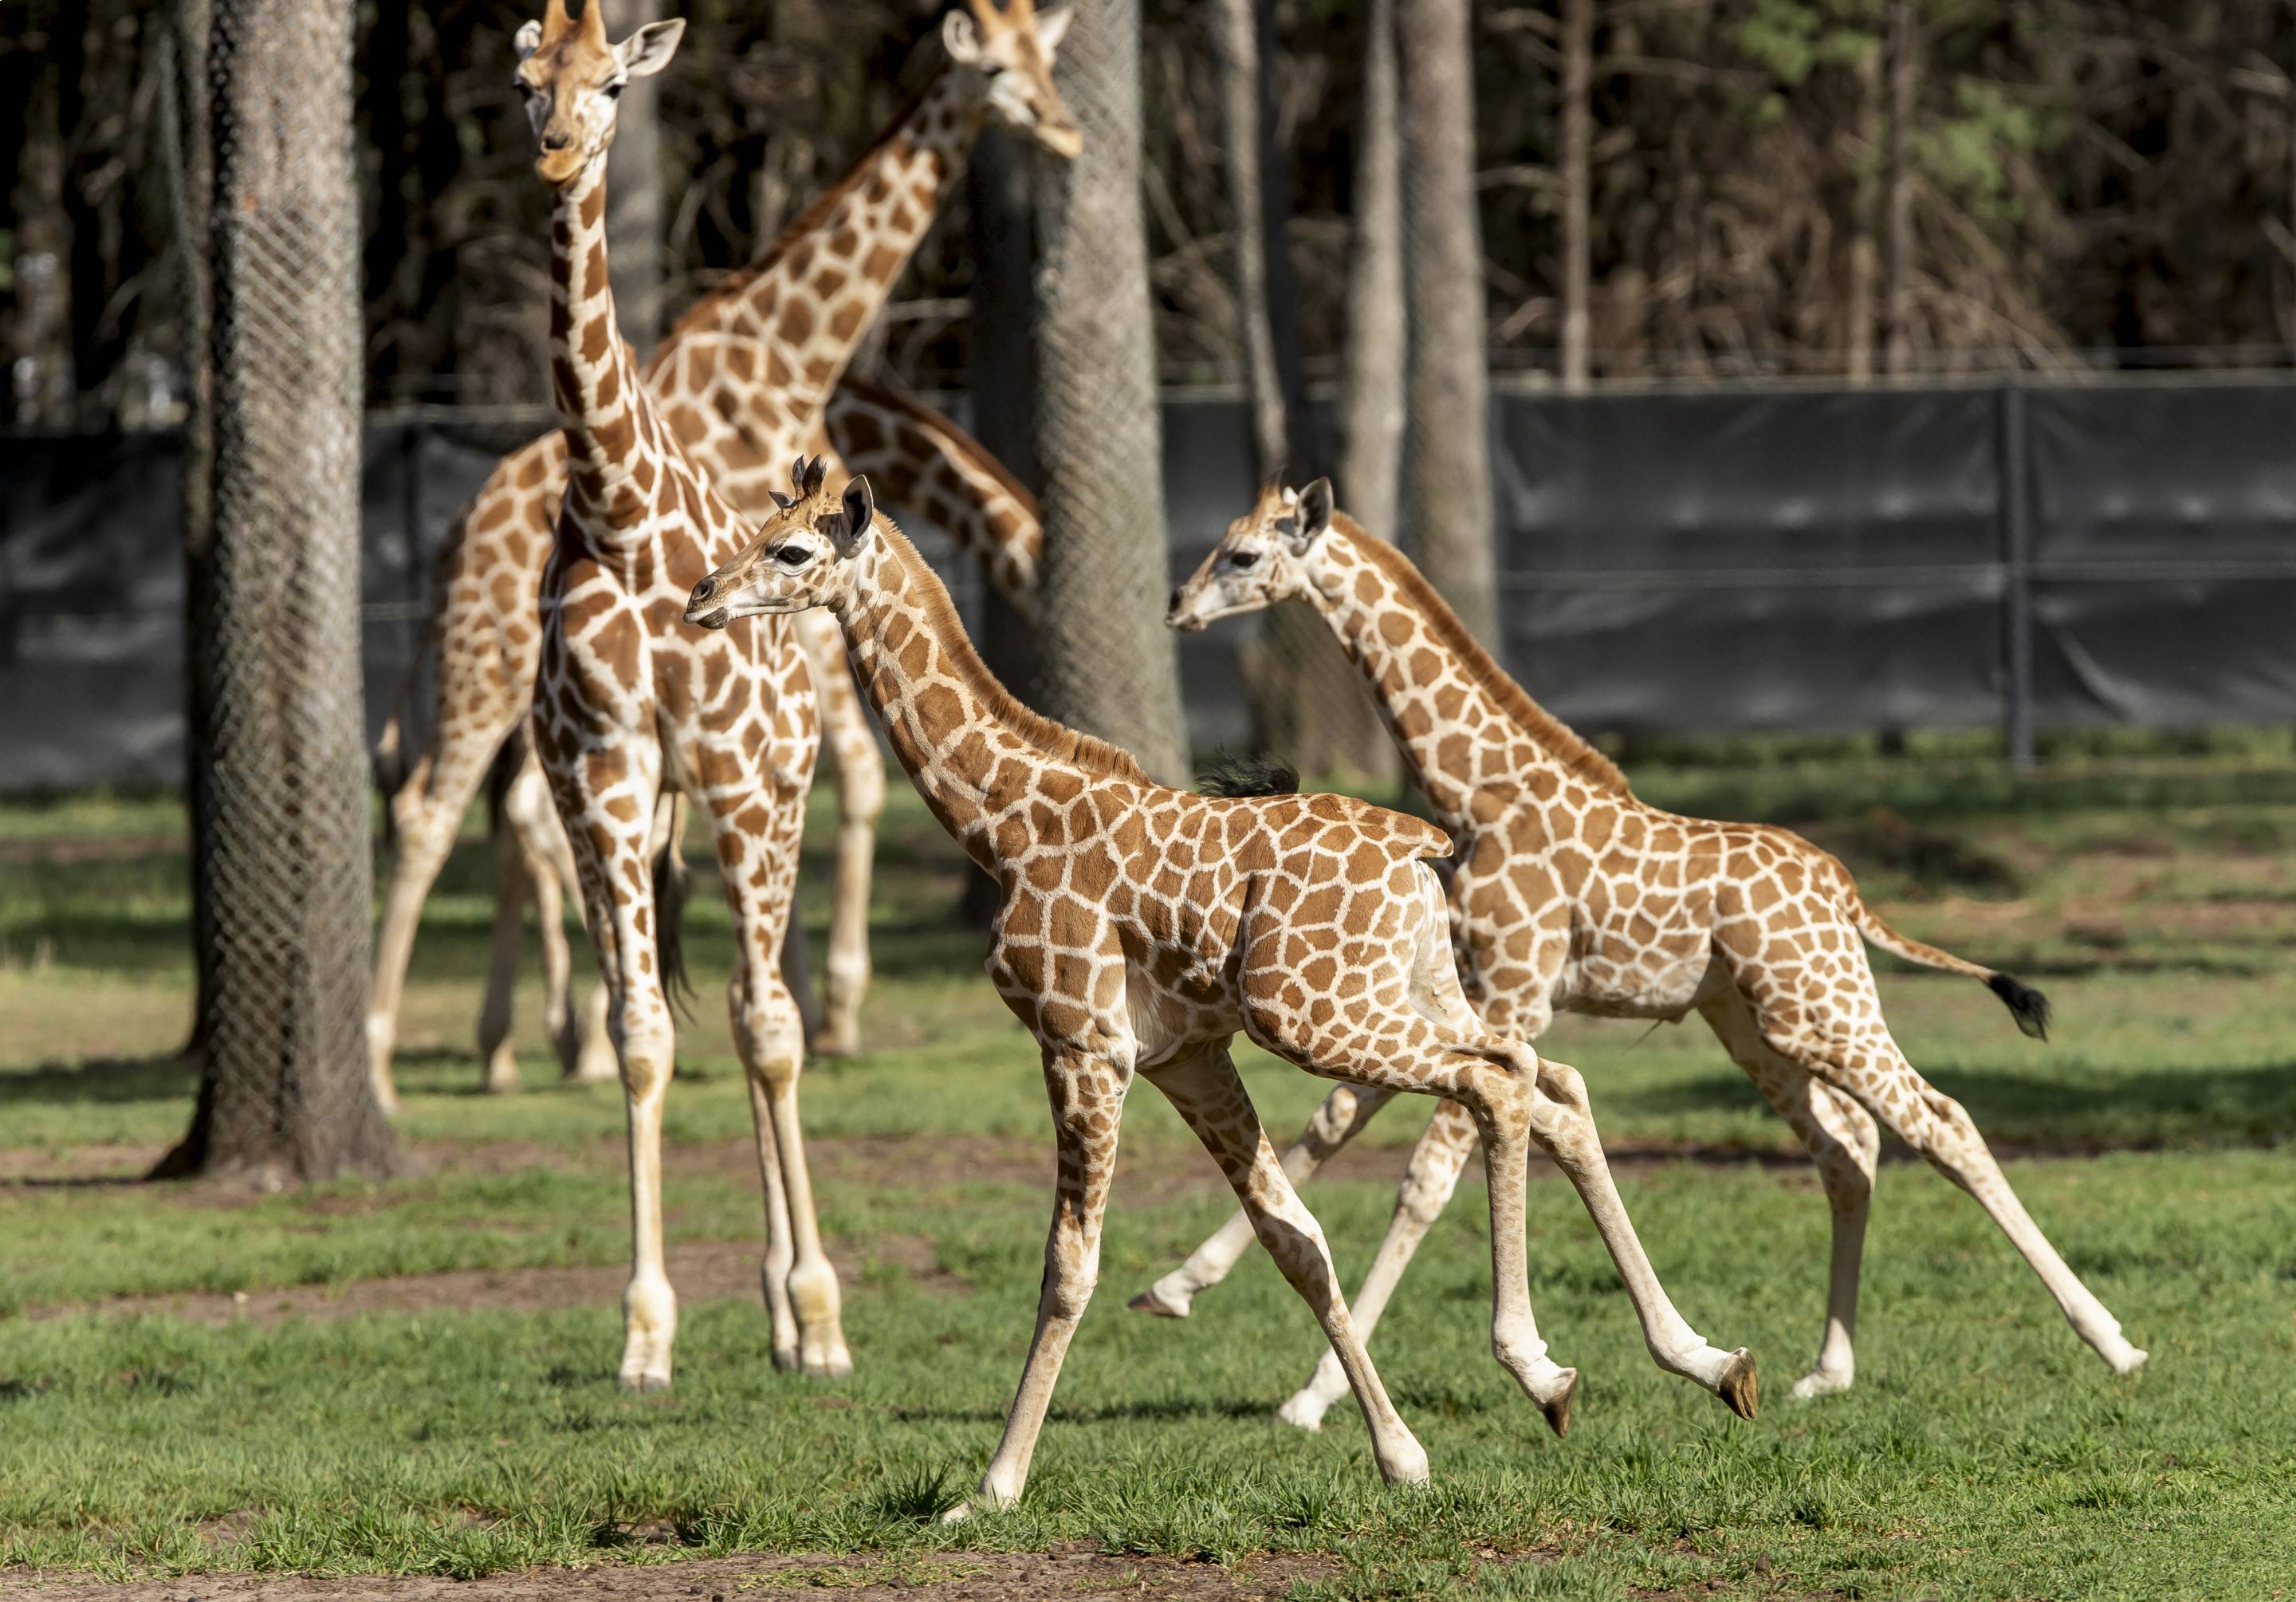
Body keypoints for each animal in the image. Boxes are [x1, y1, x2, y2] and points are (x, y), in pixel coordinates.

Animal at [363, 0, 1079, 1106]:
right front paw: (835, 1008)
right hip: (489, 667)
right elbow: (855, 777)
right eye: (999, 71)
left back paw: (519, 1042)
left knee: (510, 814)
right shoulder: (793, 613)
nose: (1064, 129)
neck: (788, 358)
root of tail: (455, 536)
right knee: (435, 810)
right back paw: (398, 1062)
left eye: (1050, 59)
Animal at [679, 459, 1754, 1506]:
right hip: (1411, 991)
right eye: (754, 530)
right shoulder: (1187, 1055)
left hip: (1318, 1014)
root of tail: (1424, 846)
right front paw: (1399, 1454)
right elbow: (1295, 1236)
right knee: (1547, 1079)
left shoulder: (1083, 1043)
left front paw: (991, 1485)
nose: (701, 596)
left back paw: (1540, 1365)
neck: (1002, 821)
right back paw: (1705, 1360)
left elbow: (1070, 1264)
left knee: (1496, 1083)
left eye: (791, 548)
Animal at [1148, 477, 2149, 1423]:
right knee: (1847, 1144)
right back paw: (1827, 1370)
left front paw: (1314, 1392)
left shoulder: (1513, 990)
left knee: (1942, 1121)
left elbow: (1424, 1179)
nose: (1178, 604)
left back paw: (2114, 1341)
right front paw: (1175, 1286)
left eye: (1241, 555)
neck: (1480, 791)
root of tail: (1847, 889)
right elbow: (1334, 1123)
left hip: (1824, 1008)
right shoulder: (1458, 988)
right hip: (1757, 1026)